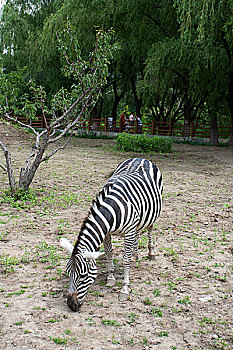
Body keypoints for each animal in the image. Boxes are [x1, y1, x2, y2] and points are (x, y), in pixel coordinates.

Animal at [60, 157, 162, 310]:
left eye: (83, 276)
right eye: (68, 273)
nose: (71, 305)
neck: (111, 209)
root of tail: (140, 158)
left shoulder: (129, 230)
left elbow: (125, 260)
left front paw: (125, 288)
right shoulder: (107, 233)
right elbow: (109, 253)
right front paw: (111, 277)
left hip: (152, 212)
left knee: (149, 228)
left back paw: (151, 253)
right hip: (139, 218)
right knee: (138, 232)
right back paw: (135, 254)